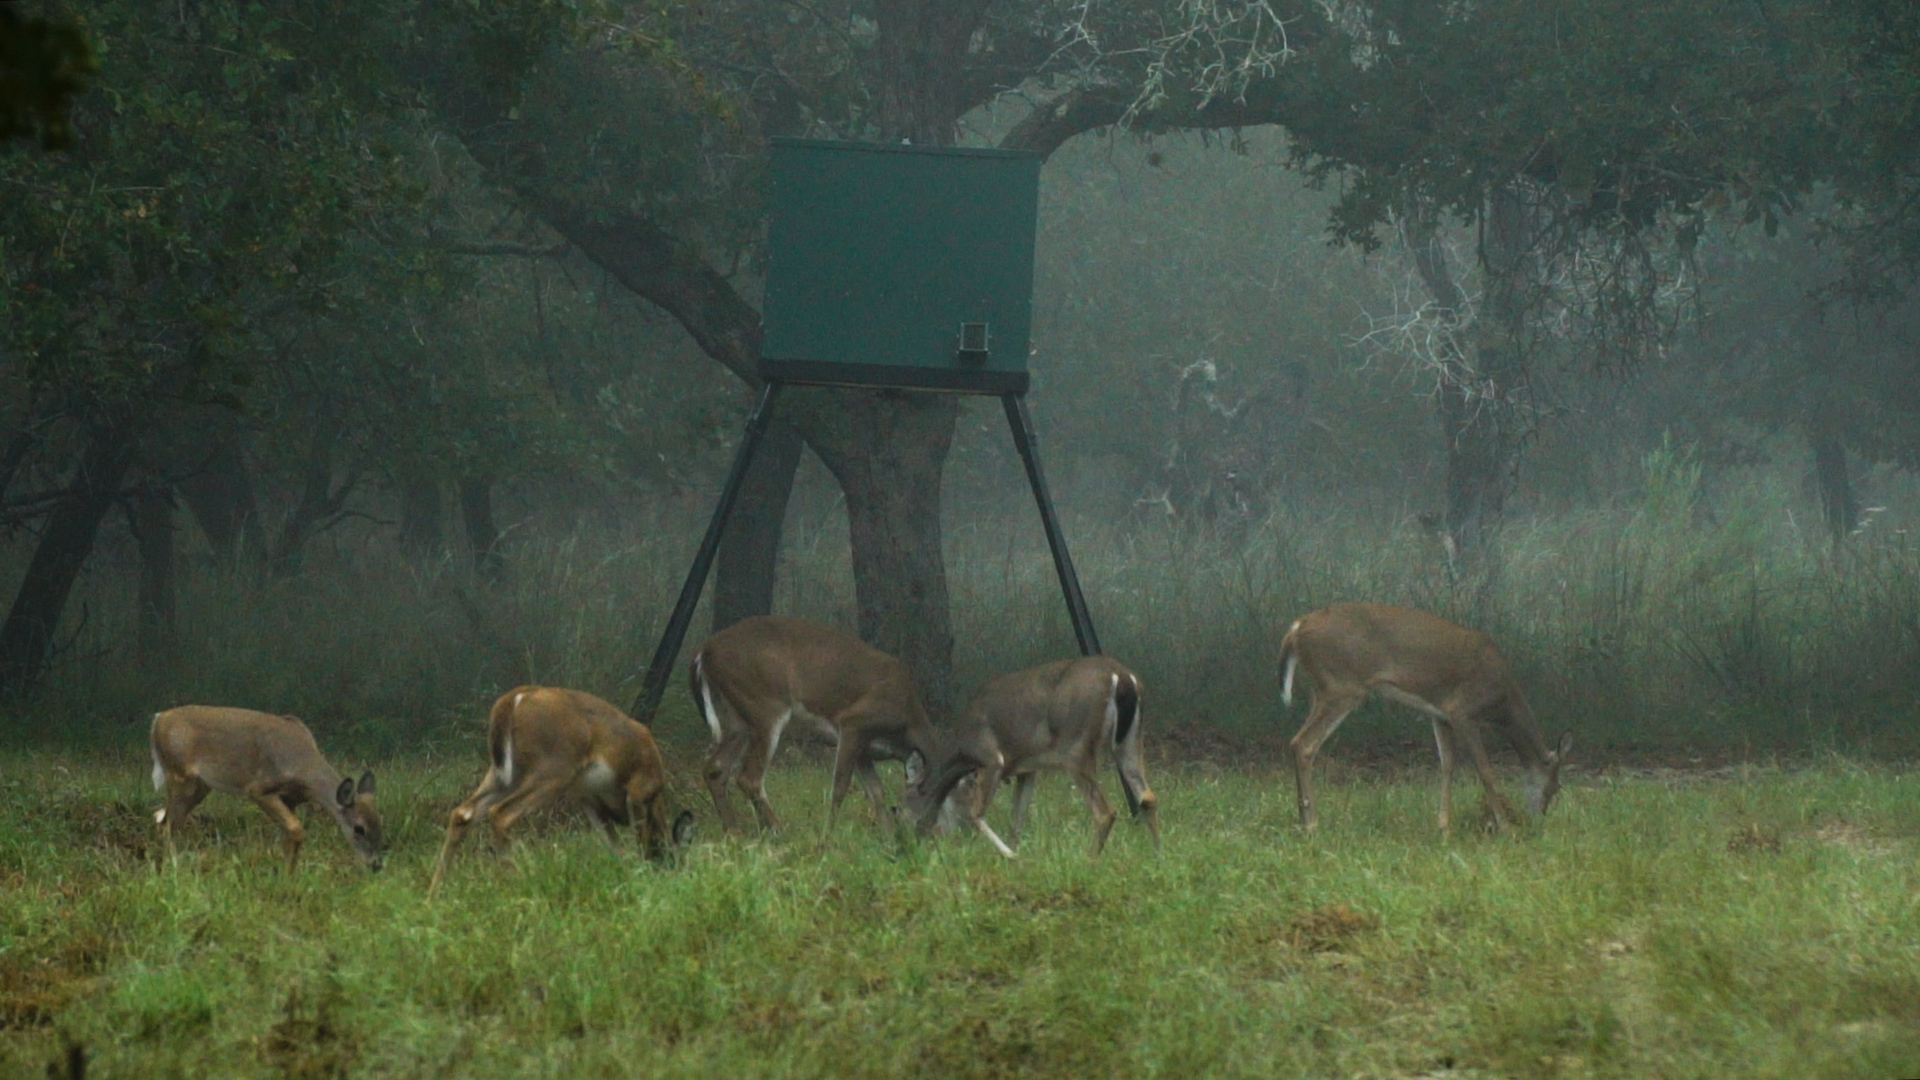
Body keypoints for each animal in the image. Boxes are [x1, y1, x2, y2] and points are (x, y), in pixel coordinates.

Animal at [150, 706, 383, 873]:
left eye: (381, 823)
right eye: (359, 828)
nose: (376, 865)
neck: (303, 767)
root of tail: (158, 719)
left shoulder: (291, 798)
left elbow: (288, 835)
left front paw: (288, 875)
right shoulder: (259, 789)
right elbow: (296, 830)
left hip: (200, 785)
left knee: (164, 820)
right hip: (180, 776)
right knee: (168, 825)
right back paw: (175, 867)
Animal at [429, 686, 693, 897]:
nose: (676, 880)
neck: (657, 802)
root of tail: (515, 698)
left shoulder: (588, 801)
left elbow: (616, 848)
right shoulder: (639, 789)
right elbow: (642, 844)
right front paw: (646, 877)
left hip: (504, 775)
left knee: (463, 813)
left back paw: (433, 897)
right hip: (553, 767)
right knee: (500, 814)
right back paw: (519, 886)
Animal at [689, 615, 963, 836]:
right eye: (947, 793)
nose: (956, 834)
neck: (908, 724)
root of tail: (704, 650)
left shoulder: (864, 748)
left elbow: (876, 792)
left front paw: (888, 839)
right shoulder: (854, 722)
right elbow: (840, 787)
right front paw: (827, 836)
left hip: (737, 718)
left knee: (715, 769)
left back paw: (734, 832)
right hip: (763, 704)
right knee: (749, 778)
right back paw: (779, 830)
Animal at [902, 656, 1160, 859]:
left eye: (898, 805)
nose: (908, 842)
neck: (960, 753)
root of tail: (1124, 678)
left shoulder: (991, 758)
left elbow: (977, 814)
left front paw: (1010, 856)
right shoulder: (1026, 769)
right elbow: (1017, 820)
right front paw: (1013, 856)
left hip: (1076, 748)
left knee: (1105, 811)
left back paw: (1090, 860)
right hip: (1130, 741)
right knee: (1147, 796)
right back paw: (1158, 858)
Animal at [1279, 603, 1573, 834]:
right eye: (1555, 787)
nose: (1538, 820)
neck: (1503, 700)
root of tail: (1296, 629)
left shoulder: (1440, 715)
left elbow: (1447, 764)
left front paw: (1444, 827)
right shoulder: (1463, 711)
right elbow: (1485, 770)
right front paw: (1506, 827)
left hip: (1320, 690)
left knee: (1296, 742)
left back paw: (1302, 819)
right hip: (1342, 686)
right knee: (1304, 744)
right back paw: (1312, 823)